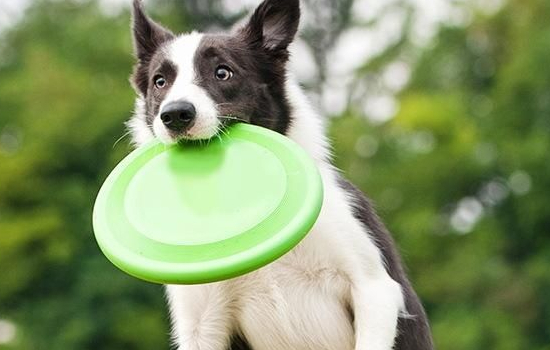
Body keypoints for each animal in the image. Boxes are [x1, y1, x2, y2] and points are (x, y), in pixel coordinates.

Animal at [128, 0, 436, 350]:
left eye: (223, 72)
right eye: (160, 81)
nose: (176, 115)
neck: (248, 202)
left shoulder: (374, 288)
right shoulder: (200, 324)